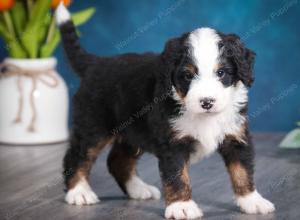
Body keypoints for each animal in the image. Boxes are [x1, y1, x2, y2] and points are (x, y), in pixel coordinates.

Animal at [55, 2, 274, 219]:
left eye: (221, 73)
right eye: (187, 75)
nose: (206, 102)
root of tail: (96, 63)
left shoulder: (236, 136)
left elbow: (242, 171)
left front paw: (252, 201)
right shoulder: (172, 144)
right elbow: (177, 176)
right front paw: (182, 206)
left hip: (133, 132)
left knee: (117, 161)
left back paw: (138, 189)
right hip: (94, 126)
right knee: (77, 156)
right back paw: (79, 192)